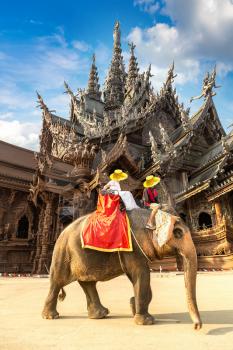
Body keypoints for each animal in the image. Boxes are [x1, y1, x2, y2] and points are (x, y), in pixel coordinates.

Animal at [41, 208, 202, 330]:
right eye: (178, 233)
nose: (196, 327)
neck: (148, 216)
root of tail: (61, 233)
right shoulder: (132, 249)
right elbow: (141, 274)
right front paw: (146, 321)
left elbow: (139, 278)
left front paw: (132, 306)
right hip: (63, 254)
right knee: (57, 282)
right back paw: (51, 316)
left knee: (87, 283)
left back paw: (101, 314)